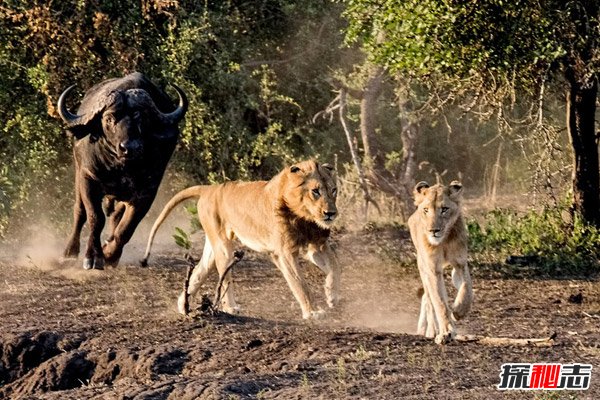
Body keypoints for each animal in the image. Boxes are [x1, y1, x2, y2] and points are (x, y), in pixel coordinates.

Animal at [57, 73, 188, 270]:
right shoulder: (88, 178)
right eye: (109, 119)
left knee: (116, 217)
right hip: (78, 174)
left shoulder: (147, 191)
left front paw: (110, 255)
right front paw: (93, 256)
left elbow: (126, 228)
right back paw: (69, 252)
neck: (120, 166)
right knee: (80, 212)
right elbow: (95, 218)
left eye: (140, 117)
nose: (130, 148)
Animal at [139, 159, 340, 318]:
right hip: (223, 246)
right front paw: (313, 312)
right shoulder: (284, 253)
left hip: (212, 245)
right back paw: (230, 308)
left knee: (199, 270)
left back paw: (183, 305)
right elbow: (300, 283)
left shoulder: (316, 246)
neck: (305, 217)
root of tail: (209, 188)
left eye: (334, 190)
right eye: (315, 191)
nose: (331, 213)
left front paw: (332, 295)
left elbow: (335, 266)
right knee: (224, 277)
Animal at [408, 181, 474, 344]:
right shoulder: (432, 270)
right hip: (422, 266)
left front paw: (458, 311)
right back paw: (430, 331)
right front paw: (446, 332)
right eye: (426, 210)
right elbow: (440, 303)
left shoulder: (460, 264)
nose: (434, 230)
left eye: (444, 209)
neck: (443, 241)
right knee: (428, 299)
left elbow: (467, 289)